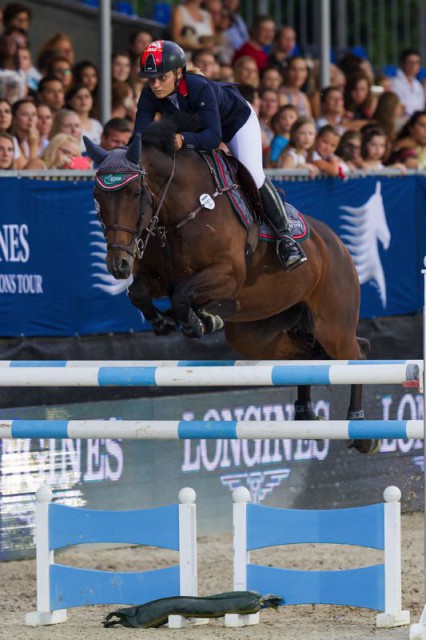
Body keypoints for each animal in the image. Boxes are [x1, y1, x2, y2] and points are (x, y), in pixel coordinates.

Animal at [85, 120, 378, 456]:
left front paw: (198, 321)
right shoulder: (157, 278)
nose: (117, 265)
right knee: (307, 357)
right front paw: (169, 321)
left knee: (355, 356)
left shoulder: (227, 275)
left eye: (134, 193)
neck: (178, 210)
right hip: (255, 335)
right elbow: (141, 293)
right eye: (97, 195)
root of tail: (337, 245)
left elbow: (182, 295)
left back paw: (361, 431)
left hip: (332, 324)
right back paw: (307, 418)